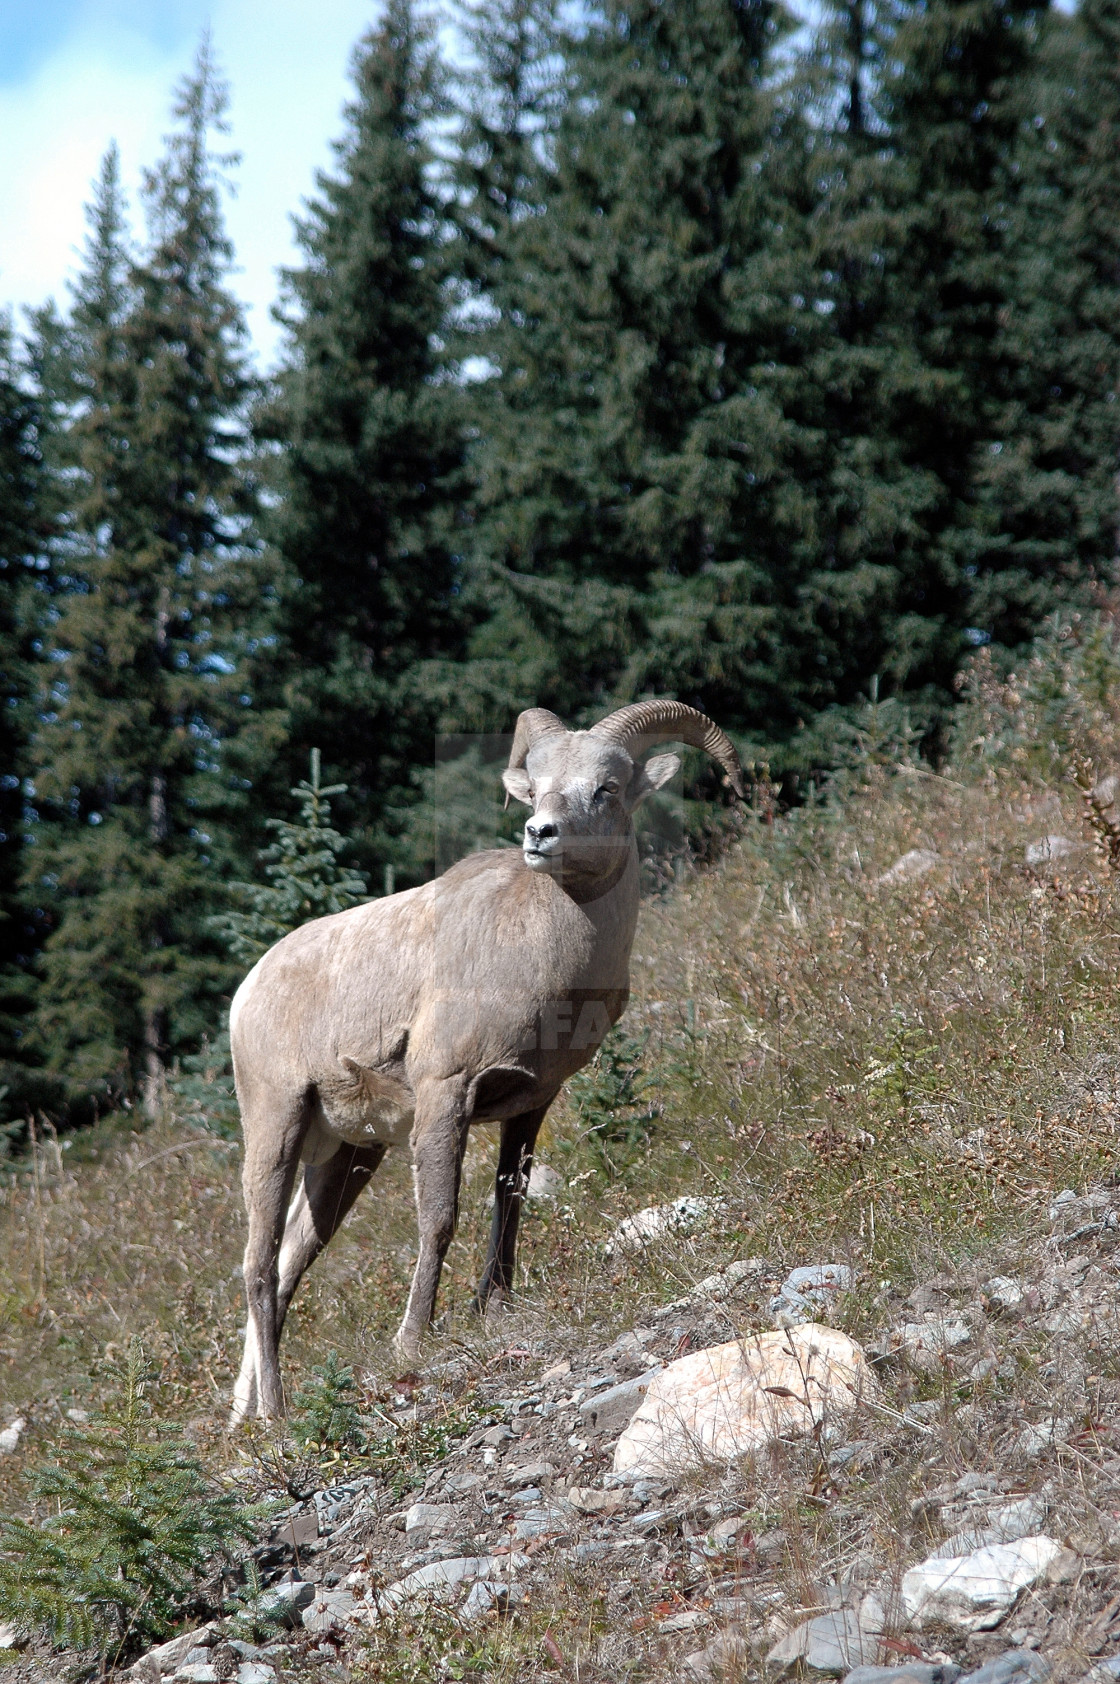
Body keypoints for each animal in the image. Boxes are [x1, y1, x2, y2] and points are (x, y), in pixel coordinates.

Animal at [227, 697, 741, 1421]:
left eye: (606, 788)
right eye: (538, 783)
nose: (539, 833)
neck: (544, 960)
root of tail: (249, 991)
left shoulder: (531, 1104)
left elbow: (510, 1204)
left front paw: (494, 1309)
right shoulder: (447, 1092)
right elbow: (440, 1218)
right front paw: (413, 1342)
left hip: (347, 1156)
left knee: (288, 1264)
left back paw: (245, 1415)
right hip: (277, 1124)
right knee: (257, 1265)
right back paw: (273, 1413)